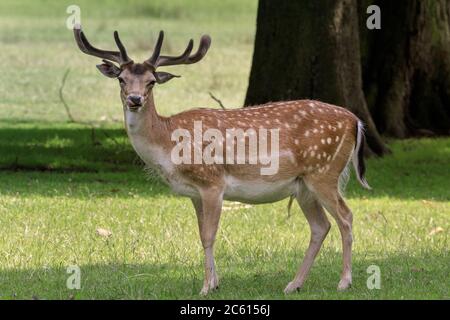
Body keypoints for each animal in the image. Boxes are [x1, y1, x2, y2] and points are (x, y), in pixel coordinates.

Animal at [72, 24, 370, 296]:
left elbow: (208, 235)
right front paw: (215, 283)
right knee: (321, 226)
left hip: (324, 172)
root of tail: (355, 121)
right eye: (121, 79)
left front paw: (206, 287)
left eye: (151, 81)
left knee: (346, 216)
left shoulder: (212, 182)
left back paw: (344, 282)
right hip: (303, 185)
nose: (135, 99)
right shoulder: (194, 192)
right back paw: (293, 284)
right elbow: (200, 232)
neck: (168, 143)